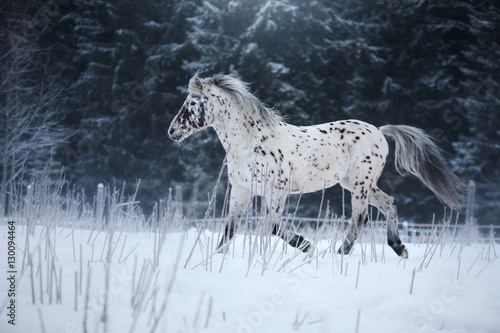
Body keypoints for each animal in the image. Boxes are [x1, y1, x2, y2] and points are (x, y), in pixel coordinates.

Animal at [169, 74, 468, 258]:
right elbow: (230, 229)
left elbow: (273, 225)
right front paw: (216, 257)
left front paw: (307, 246)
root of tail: (380, 131)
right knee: (389, 204)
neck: (251, 141)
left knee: (360, 217)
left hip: (360, 185)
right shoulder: (241, 190)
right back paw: (398, 248)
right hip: (357, 184)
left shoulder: (276, 190)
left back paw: (341, 253)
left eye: (192, 103)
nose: (172, 131)